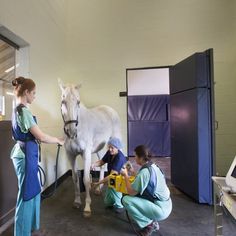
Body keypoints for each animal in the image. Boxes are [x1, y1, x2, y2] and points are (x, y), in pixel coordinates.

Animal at [58, 80, 121, 217]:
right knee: (103, 165)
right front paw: (77, 202)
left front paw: (87, 207)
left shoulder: (85, 153)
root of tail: (110, 110)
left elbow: (86, 179)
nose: (72, 132)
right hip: (101, 148)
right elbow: (75, 178)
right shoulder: (70, 155)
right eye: (63, 101)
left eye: (78, 102)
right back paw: (98, 189)